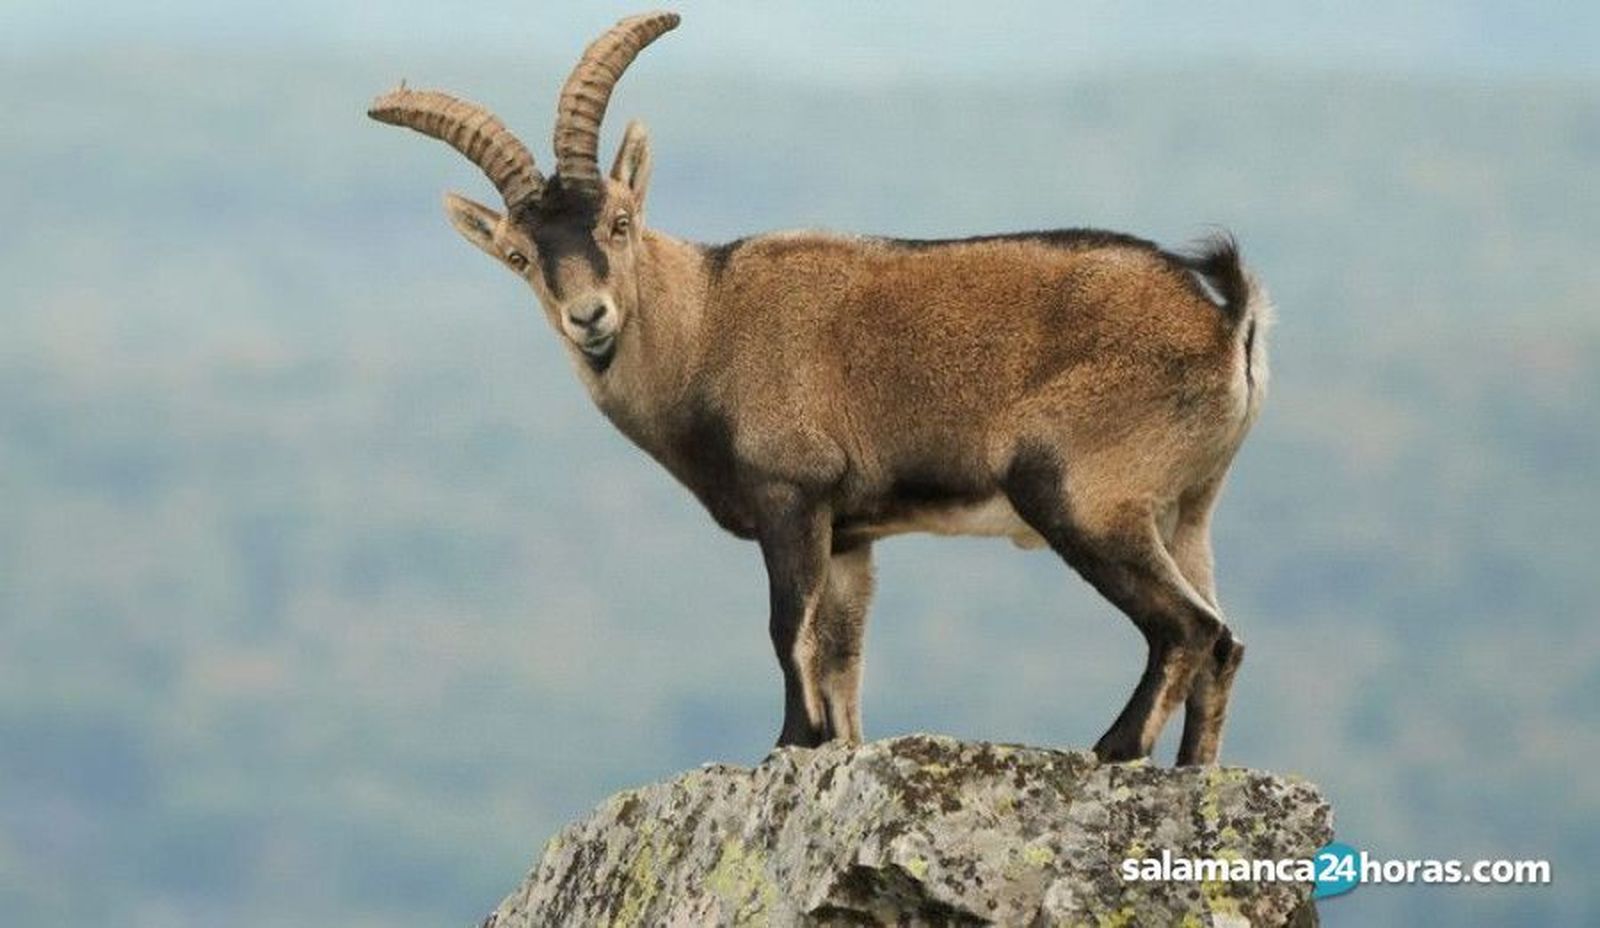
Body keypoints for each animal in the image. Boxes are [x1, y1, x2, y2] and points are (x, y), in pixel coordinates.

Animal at [369, 11, 1272, 765]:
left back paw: (1114, 748)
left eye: (619, 221)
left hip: (1080, 492)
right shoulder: (850, 535)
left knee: (1186, 628)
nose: (590, 317)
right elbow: (841, 654)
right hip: (1185, 508)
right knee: (1224, 640)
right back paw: (1193, 772)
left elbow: (785, 629)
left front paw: (788, 744)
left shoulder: (792, 495)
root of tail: (1227, 322)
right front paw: (836, 745)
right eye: (520, 257)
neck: (708, 324)